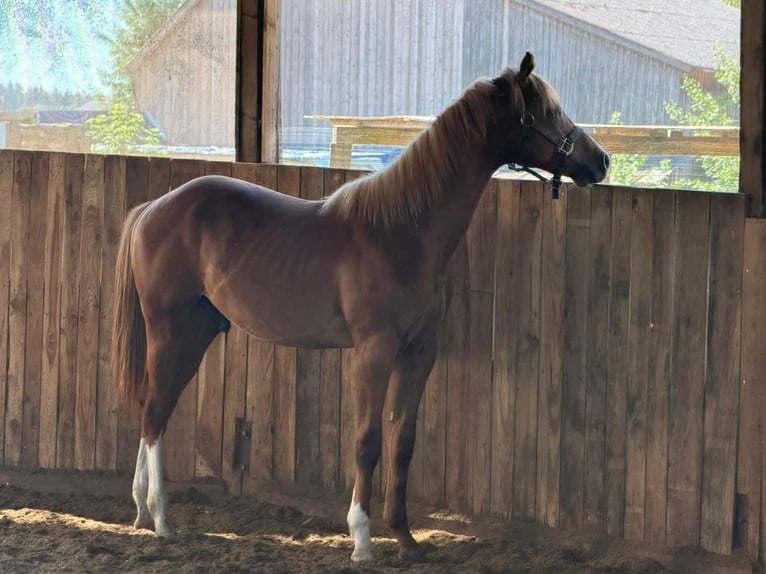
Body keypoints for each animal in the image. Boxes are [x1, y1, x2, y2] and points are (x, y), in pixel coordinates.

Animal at [112, 52, 610, 562]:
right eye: (547, 111)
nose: (601, 160)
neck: (403, 233)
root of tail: (153, 208)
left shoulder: (419, 353)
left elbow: (402, 441)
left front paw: (407, 540)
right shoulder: (374, 351)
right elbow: (368, 441)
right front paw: (363, 539)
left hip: (197, 333)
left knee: (155, 411)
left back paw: (142, 510)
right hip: (171, 331)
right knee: (155, 413)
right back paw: (162, 519)